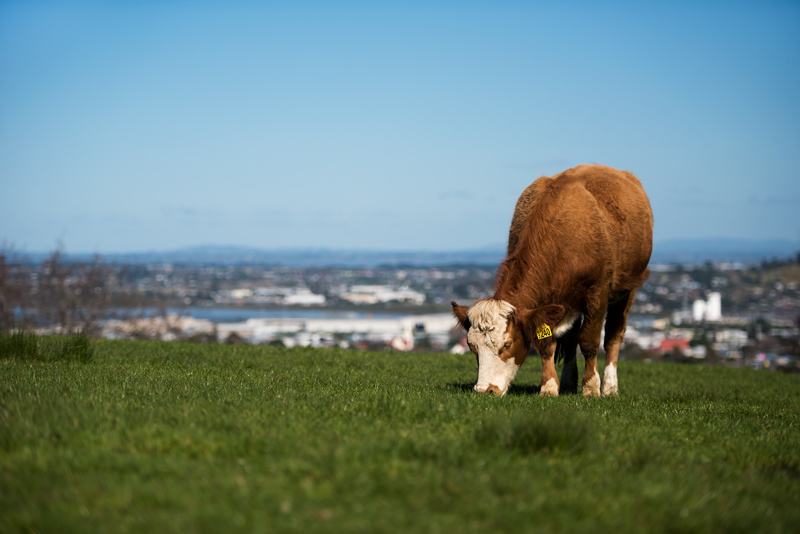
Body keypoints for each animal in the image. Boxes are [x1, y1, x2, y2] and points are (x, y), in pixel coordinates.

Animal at [450, 166, 648, 398]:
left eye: (507, 345)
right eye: (472, 346)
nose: (484, 390)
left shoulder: (597, 292)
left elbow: (589, 342)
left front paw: (591, 387)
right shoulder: (545, 304)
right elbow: (547, 344)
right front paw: (550, 386)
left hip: (627, 288)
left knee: (613, 336)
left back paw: (609, 386)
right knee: (571, 340)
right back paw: (569, 382)